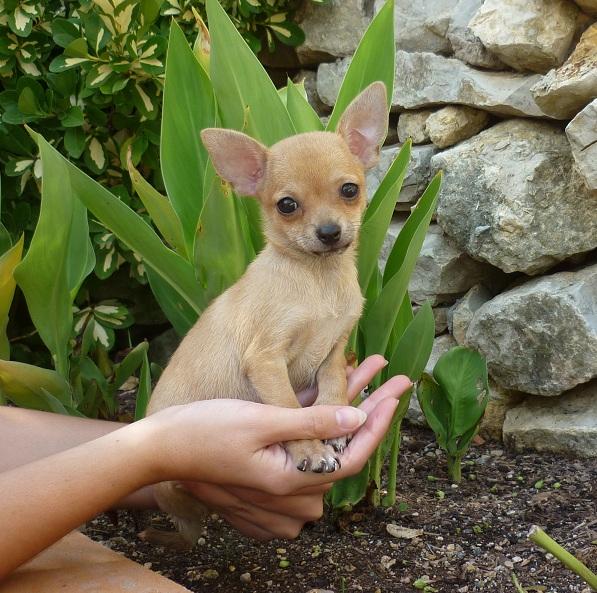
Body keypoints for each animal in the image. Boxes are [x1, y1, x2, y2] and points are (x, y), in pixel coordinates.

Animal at [147, 81, 388, 544]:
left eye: (349, 190)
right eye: (287, 205)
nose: (329, 232)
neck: (317, 280)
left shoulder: (333, 350)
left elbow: (332, 385)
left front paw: (336, 429)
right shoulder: (266, 360)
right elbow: (290, 413)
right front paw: (310, 449)